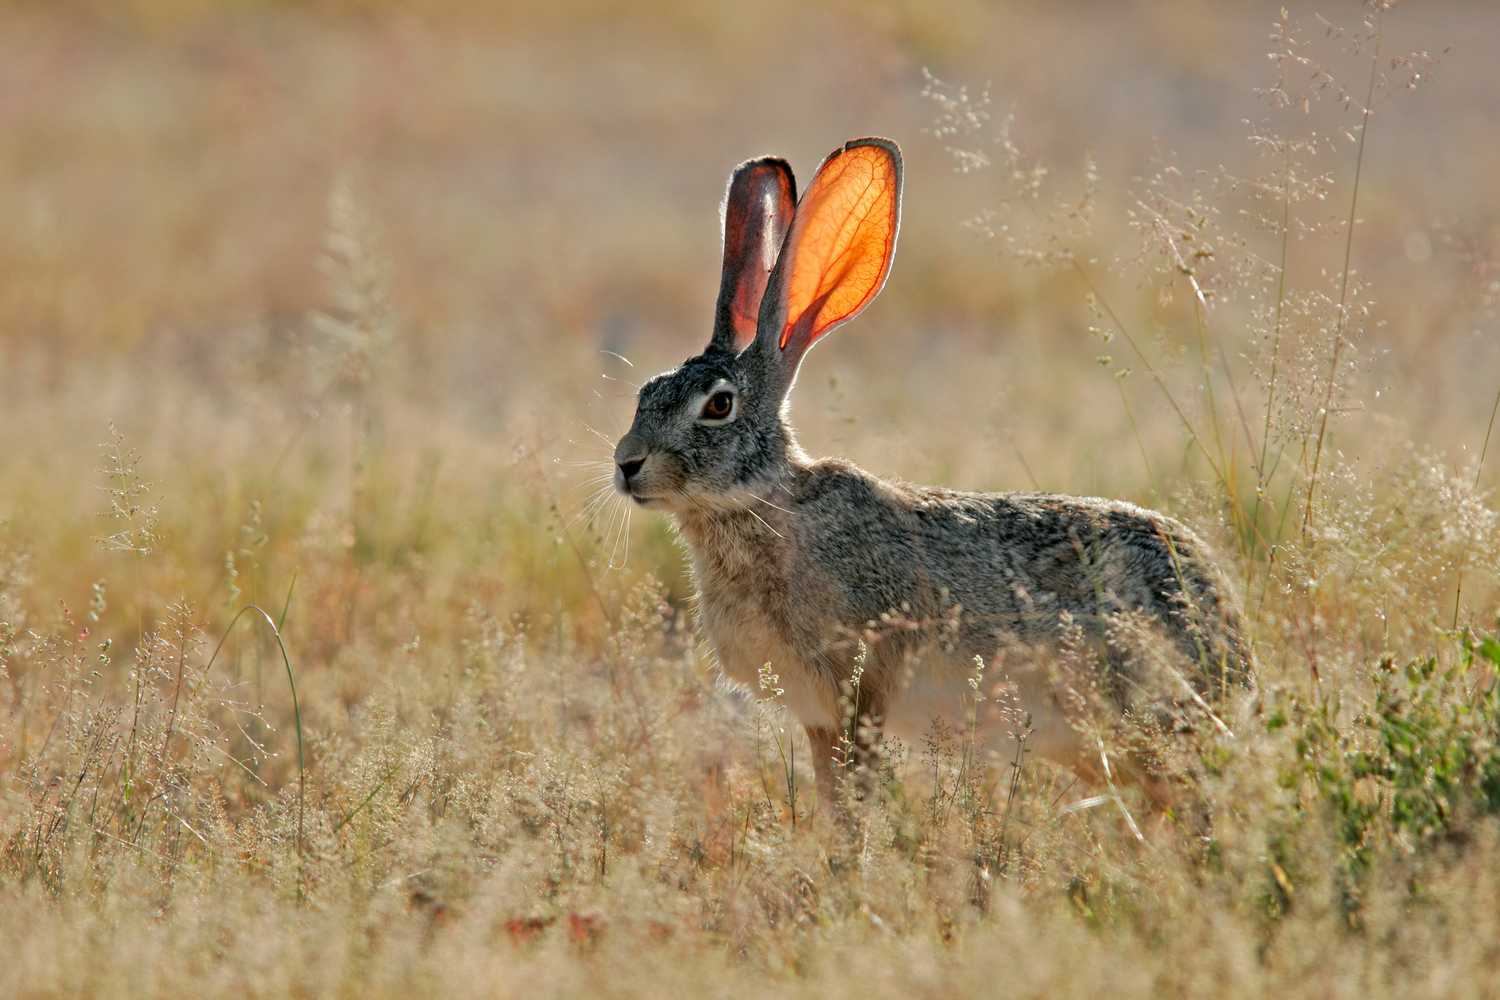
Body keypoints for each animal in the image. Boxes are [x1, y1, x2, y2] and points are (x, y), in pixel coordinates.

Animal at [612, 137, 1254, 809]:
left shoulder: (859, 689)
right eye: (646, 391)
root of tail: (1235, 648)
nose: (627, 463)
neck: (761, 504)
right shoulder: (819, 716)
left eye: (718, 406)